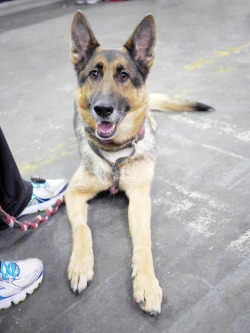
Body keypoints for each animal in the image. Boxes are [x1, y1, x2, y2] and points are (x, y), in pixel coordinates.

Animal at [65, 11, 212, 314]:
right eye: (94, 74)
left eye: (124, 75)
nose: (102, 109)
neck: (115, 156)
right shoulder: (72, 193)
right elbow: (83, 228)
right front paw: (81, 264)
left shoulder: (140, 198)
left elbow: (143, 241)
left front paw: (146, 283)